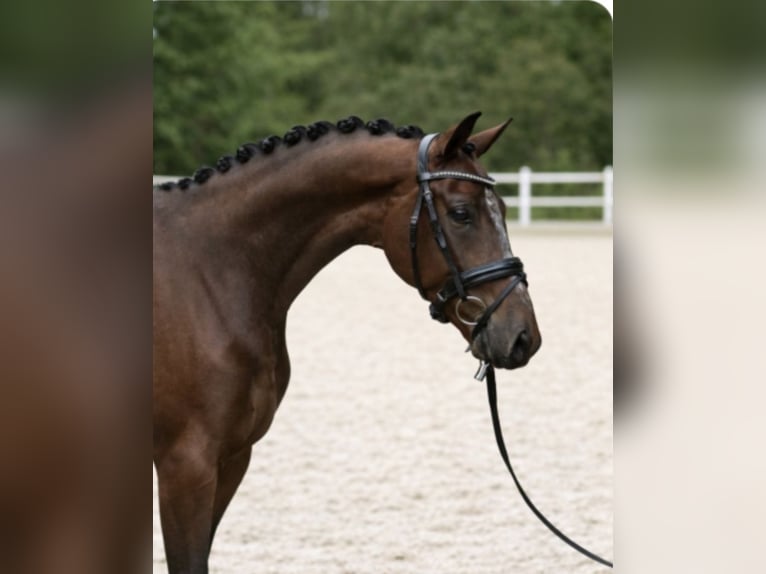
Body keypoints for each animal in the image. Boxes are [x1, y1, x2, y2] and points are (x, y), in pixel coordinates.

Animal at [153, 111, 541, 573]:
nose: (523, 336)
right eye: (462, 214)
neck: (212, 273)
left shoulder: (232, 458)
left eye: (503, 209)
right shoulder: (186, 466)